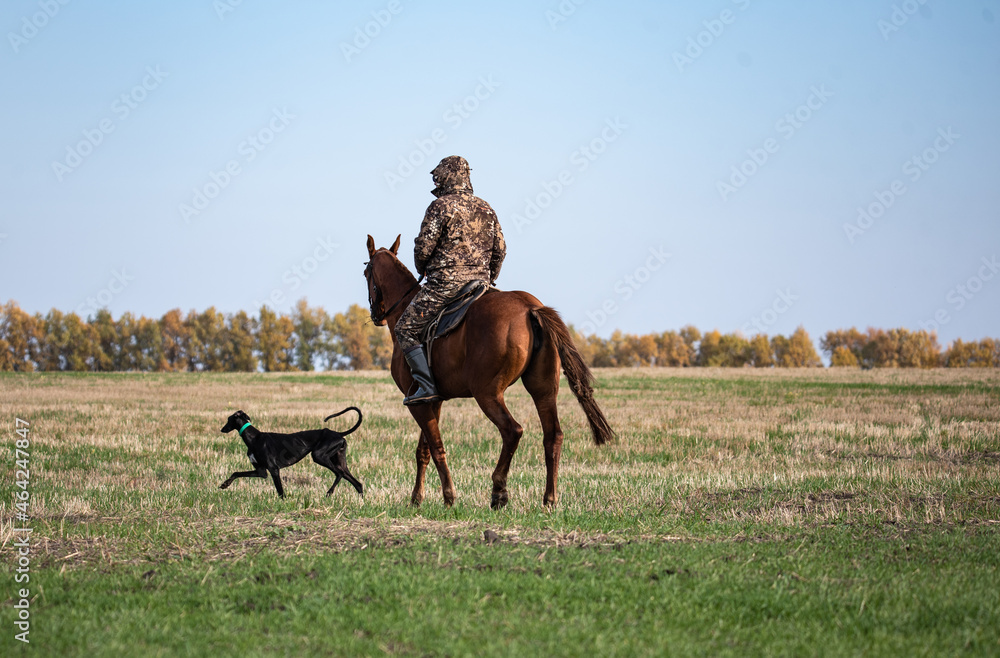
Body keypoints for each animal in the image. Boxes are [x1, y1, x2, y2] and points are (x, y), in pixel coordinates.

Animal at [364, 234, 614, 509]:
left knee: (513, 431)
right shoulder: (432, 400)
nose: (376, 315)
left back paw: (499, 492)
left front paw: (448, 496)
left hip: (487, 394)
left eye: (366, 273)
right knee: (553, 436)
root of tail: (529, 308)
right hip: (544, 391)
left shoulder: (417, 403)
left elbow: (436, 447)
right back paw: (549, 499)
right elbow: (424, 451)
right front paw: (416, 499)